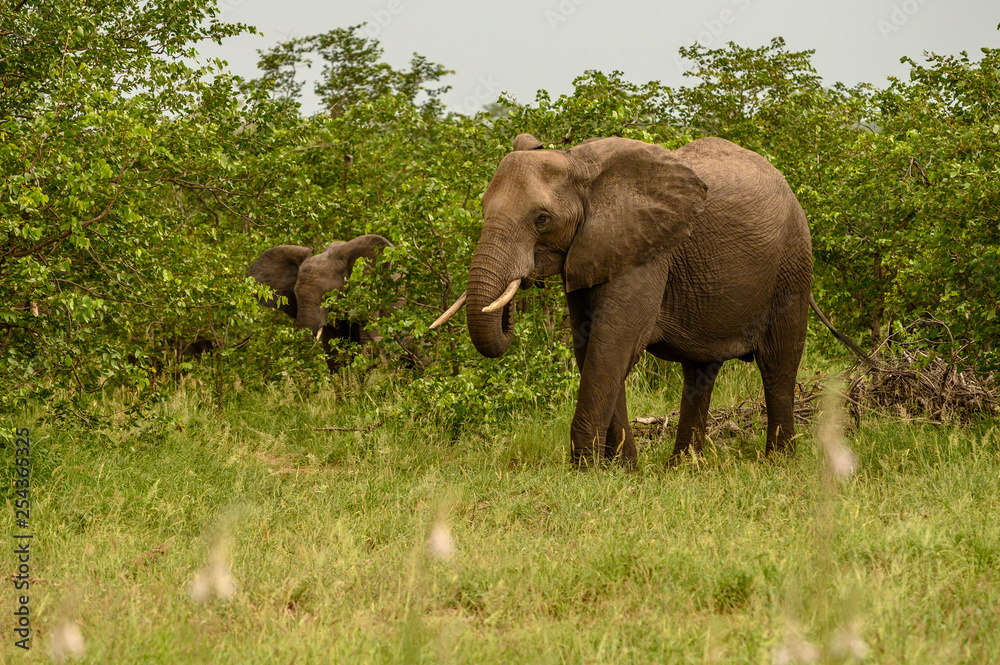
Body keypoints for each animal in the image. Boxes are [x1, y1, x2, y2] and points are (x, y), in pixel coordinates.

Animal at [432, 134, 868, 466]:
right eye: (482, 208)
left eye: (541, 219)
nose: (516, 291)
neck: (579, 165)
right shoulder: (597, 249)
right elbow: (591, 347)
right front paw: (623, 470)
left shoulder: (648, 251)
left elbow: (616, 341)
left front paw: (584, 472)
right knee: (700, 372)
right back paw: (684, 468)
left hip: (792, 265)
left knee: (778, 363)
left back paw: (778, 463)